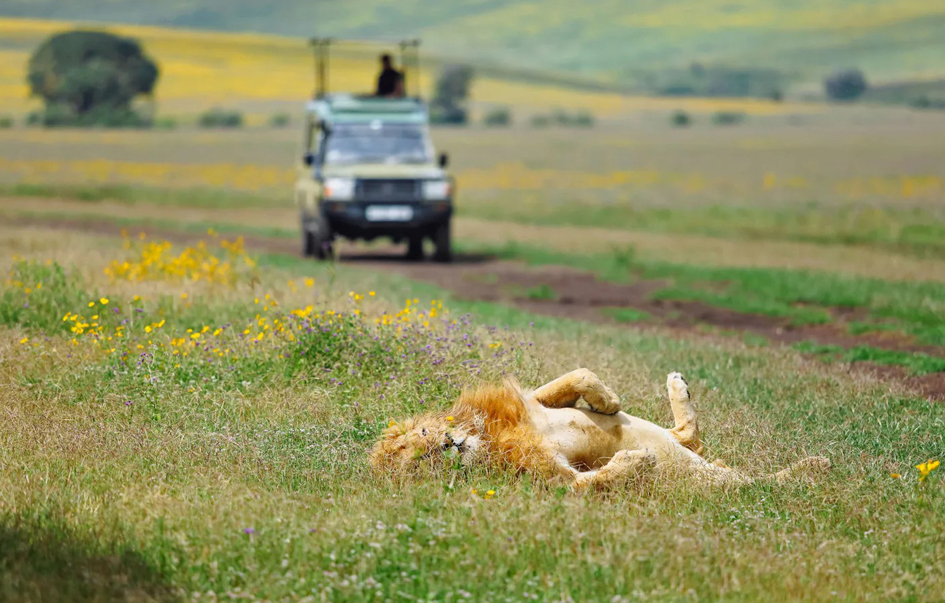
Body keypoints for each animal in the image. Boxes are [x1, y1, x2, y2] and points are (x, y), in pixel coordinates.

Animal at [368, 368, 824, 490]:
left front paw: (608, 401)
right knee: (758, 483)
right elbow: (593, 481)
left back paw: (678, 385)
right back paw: (815, 467)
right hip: (714, 481)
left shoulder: (533, 402)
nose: (449, 444)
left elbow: (577, 377)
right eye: (421, 464)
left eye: (422, 440)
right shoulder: (555, 479)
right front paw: (636, 461)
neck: (487, 438)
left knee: (688, 435)